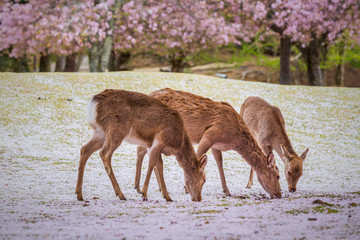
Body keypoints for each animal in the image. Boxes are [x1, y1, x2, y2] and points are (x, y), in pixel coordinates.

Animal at [74, 89, 207, 202]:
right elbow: (152, 164)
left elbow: (159, 165)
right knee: (104, 154)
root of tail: (93, 103)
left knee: (84, 149)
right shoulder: (160, 140)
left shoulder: (150, 144)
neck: (178, 144)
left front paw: (167, 196)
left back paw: (79, 194)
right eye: (203, 180)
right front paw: (144, 194)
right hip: (116, 129)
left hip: (100, 132)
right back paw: (120, 194)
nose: (198, 198)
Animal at [134, 88, 282, 199]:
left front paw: (227, 190)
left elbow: (219, 163)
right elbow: (198, 157)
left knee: (143, 150)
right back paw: (140, 187)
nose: (279, 194)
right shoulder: (209, 135)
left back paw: (145, 187)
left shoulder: (217, 145)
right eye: (278, 175)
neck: (233, 139)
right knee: (142, 150)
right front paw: (187, 188)